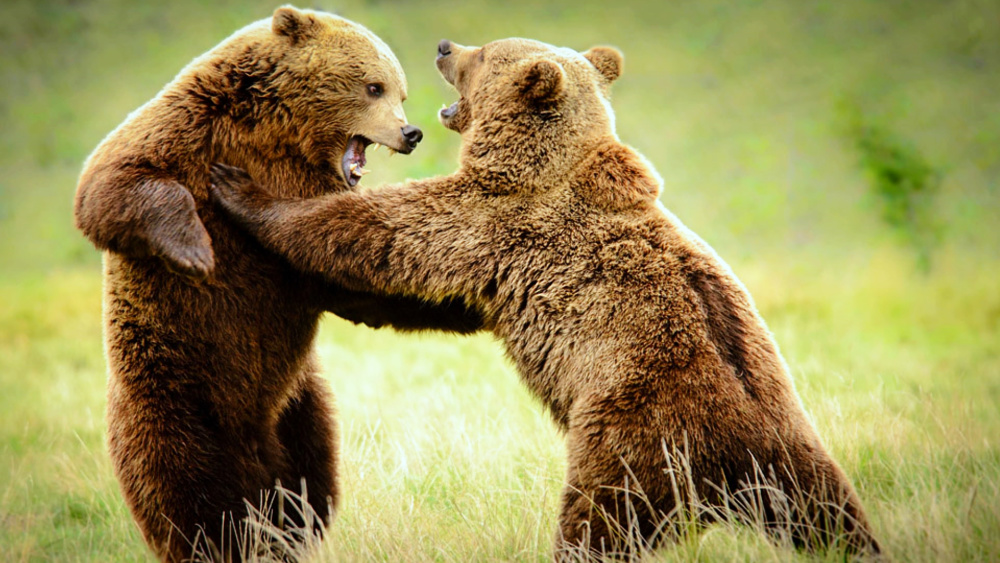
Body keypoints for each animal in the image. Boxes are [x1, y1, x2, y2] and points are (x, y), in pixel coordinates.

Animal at [72, 7, 481, 562]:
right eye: (374, 86)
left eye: (399, 91)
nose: (411, 132)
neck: (279, 136)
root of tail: (250, 443)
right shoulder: (187, 130)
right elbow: (111, 184)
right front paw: (195, 251)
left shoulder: (312, 195)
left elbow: (352, 269)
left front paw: (465, 303)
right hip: (171, 395)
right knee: (184, 490)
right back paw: (217, 539)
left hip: (301, 410)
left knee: (309, 489)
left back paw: (283, 533)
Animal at [208, 36, 883, 559]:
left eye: (487, 53)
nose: (445, 46)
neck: (533, 161)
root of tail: (740, 453)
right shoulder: (498, 259)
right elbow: (436, 299)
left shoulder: (498, 221)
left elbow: (387, 234)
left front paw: (242, 192)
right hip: (797, 458)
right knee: (830, 519)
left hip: (633, 434)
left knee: (598, 523)